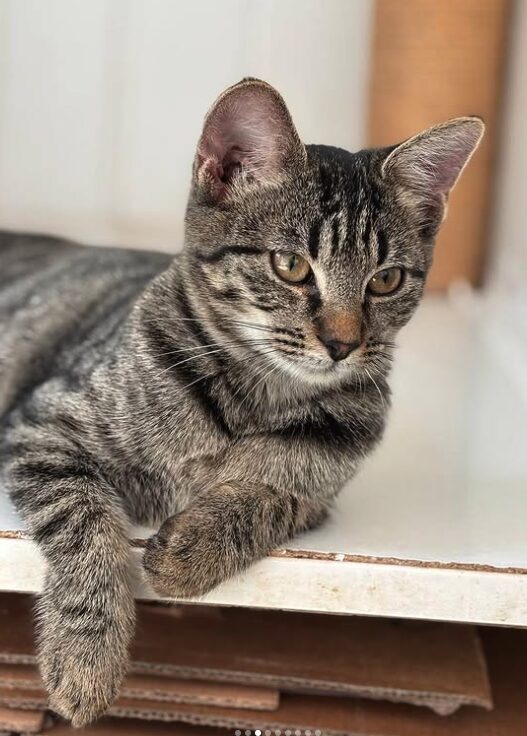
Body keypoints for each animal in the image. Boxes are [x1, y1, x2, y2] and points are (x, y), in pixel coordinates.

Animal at [0, 79, 484, 724]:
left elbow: (272, 495)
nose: (343, 344)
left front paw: (193, 549)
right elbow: (88, 526)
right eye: (292, 266)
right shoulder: (42, 427)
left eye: (386, 280)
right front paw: (85, 658)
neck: (253, 399)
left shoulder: (321, 497)